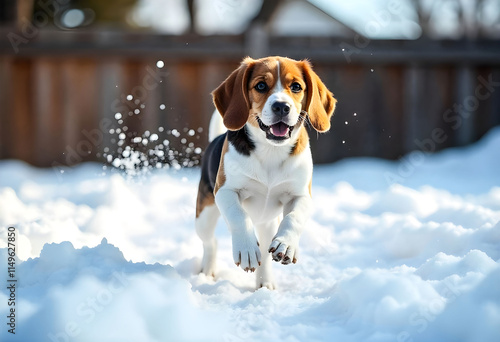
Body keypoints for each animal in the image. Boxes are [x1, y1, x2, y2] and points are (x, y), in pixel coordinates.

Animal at [195, 56, 336, 288]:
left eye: (296, 87)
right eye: (261, 86)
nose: (281, 106)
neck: (271, 150)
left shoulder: (301, 195)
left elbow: (294, 218)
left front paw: (286, 245)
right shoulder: (225, 191)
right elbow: (239, 215)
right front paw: (245, 248)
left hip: (267, 223)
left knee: (264, 251)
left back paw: (265, 284)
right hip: (204, 216)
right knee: (210, 242)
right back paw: (207, 272)